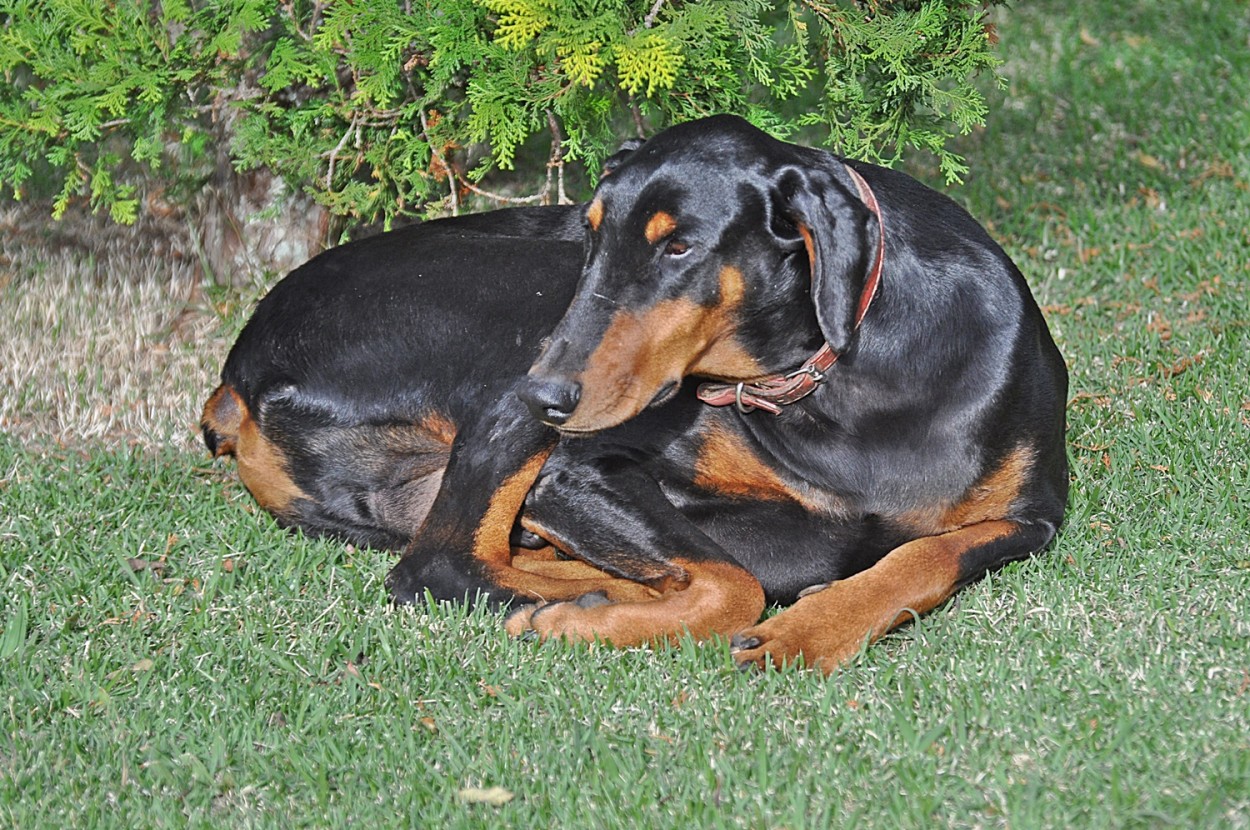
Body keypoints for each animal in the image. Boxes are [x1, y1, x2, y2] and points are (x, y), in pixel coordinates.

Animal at [202, 115, 1065, 675]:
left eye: (678, 247)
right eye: (591, 233)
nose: (546, 395)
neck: (834, 376)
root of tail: (235, 377)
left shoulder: (1036, 516)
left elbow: (929, 552)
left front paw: (813, 631)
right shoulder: (576, 468)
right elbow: (738, 582)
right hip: (517, 317)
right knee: (437, 565)